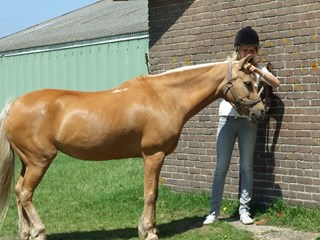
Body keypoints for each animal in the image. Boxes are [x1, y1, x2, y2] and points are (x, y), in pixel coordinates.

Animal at [0, 54, 264, 240]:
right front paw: (148, 231)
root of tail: (14, 105)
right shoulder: (153, 155)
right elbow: (151, 194)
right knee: (25, 193)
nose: (261, 112)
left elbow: (153, 194)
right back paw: (39, 231)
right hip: (40, 161)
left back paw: (26, 232)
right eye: (248, 82)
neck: (165, 97)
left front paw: (151, 228)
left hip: (28, 162)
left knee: (19, 192)